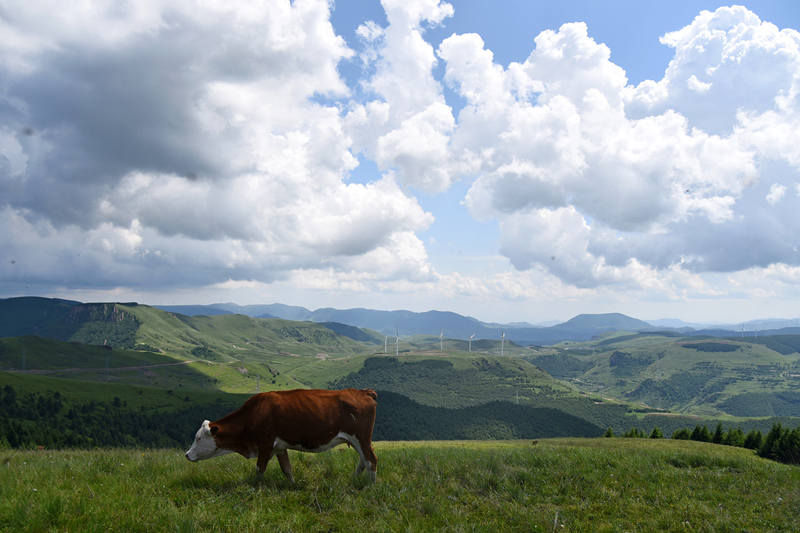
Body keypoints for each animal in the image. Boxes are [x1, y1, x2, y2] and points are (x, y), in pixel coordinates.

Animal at [184, 386, 378, 482]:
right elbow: (287, 469)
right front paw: (293, 486)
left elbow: (259, 469)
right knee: (364, 460)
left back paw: (370, 487)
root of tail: (363, 392)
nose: (186, 455)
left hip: (361, 437)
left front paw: (255, 488)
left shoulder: (265, 444)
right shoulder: (279, 447)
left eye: (198, 438)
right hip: (358, 439)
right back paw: (354, 481)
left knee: (371, 461)